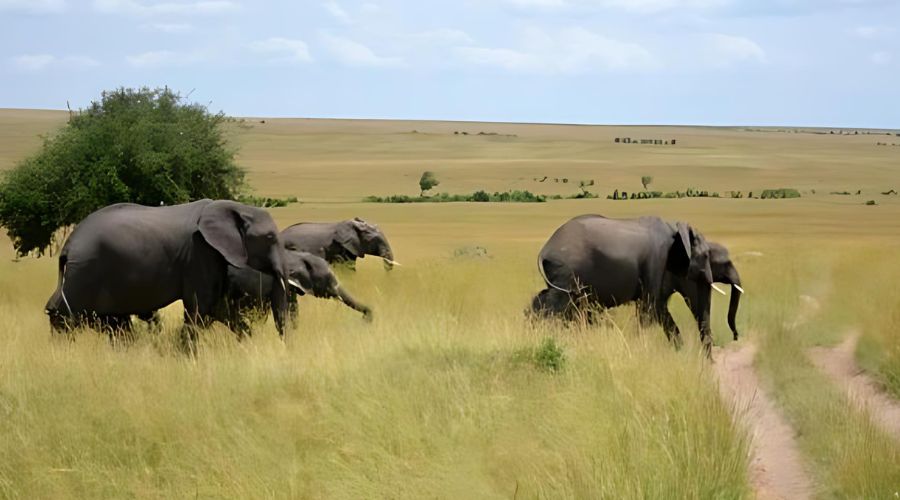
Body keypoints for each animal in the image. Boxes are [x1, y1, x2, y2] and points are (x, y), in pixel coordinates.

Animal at [44, 199, 290, 339]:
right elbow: (201, 306)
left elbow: (218, 306)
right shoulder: (198, 252)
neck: (234, 207)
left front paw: (247, 343)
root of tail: (68, 246)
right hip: (86, 271)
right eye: (270, 238)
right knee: (63, 313)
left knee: (113, 322)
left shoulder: (211, 255)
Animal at [530, 214, 743, 356]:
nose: (735, 337)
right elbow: (650, 309)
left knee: (547, 302)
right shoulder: (657, 260)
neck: (677, 230)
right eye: (707, 257)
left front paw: (679, 352)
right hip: (567, 271)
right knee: (557, 306)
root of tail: (544, 250)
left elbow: (661, 310)